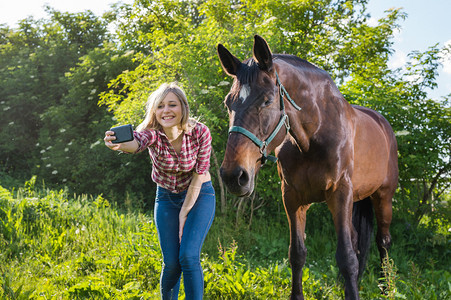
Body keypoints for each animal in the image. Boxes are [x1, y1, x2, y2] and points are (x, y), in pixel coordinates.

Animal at [218, 35, 400, 300]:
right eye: (228, 104)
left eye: (267, 100)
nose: (233, 175)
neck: (315, 134)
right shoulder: (293, 197)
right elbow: (297, 253)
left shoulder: (340, 193)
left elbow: (346, 258)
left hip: (383, 197)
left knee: (383, 241)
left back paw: (387, 288)